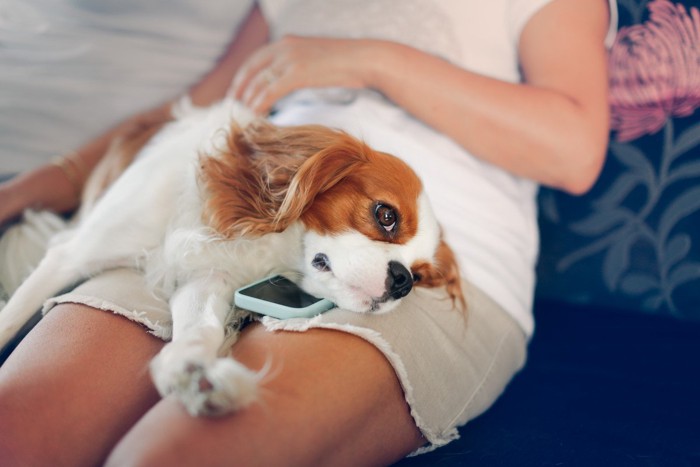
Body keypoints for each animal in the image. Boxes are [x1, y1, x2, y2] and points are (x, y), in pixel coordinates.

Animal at [0, 98, 464, 416]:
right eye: (386, 215)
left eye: (421, 275)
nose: (403, 281)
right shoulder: (70, 254)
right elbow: (11, 317)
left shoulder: (207, 281)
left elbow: (201, 326)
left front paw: (193, 370)